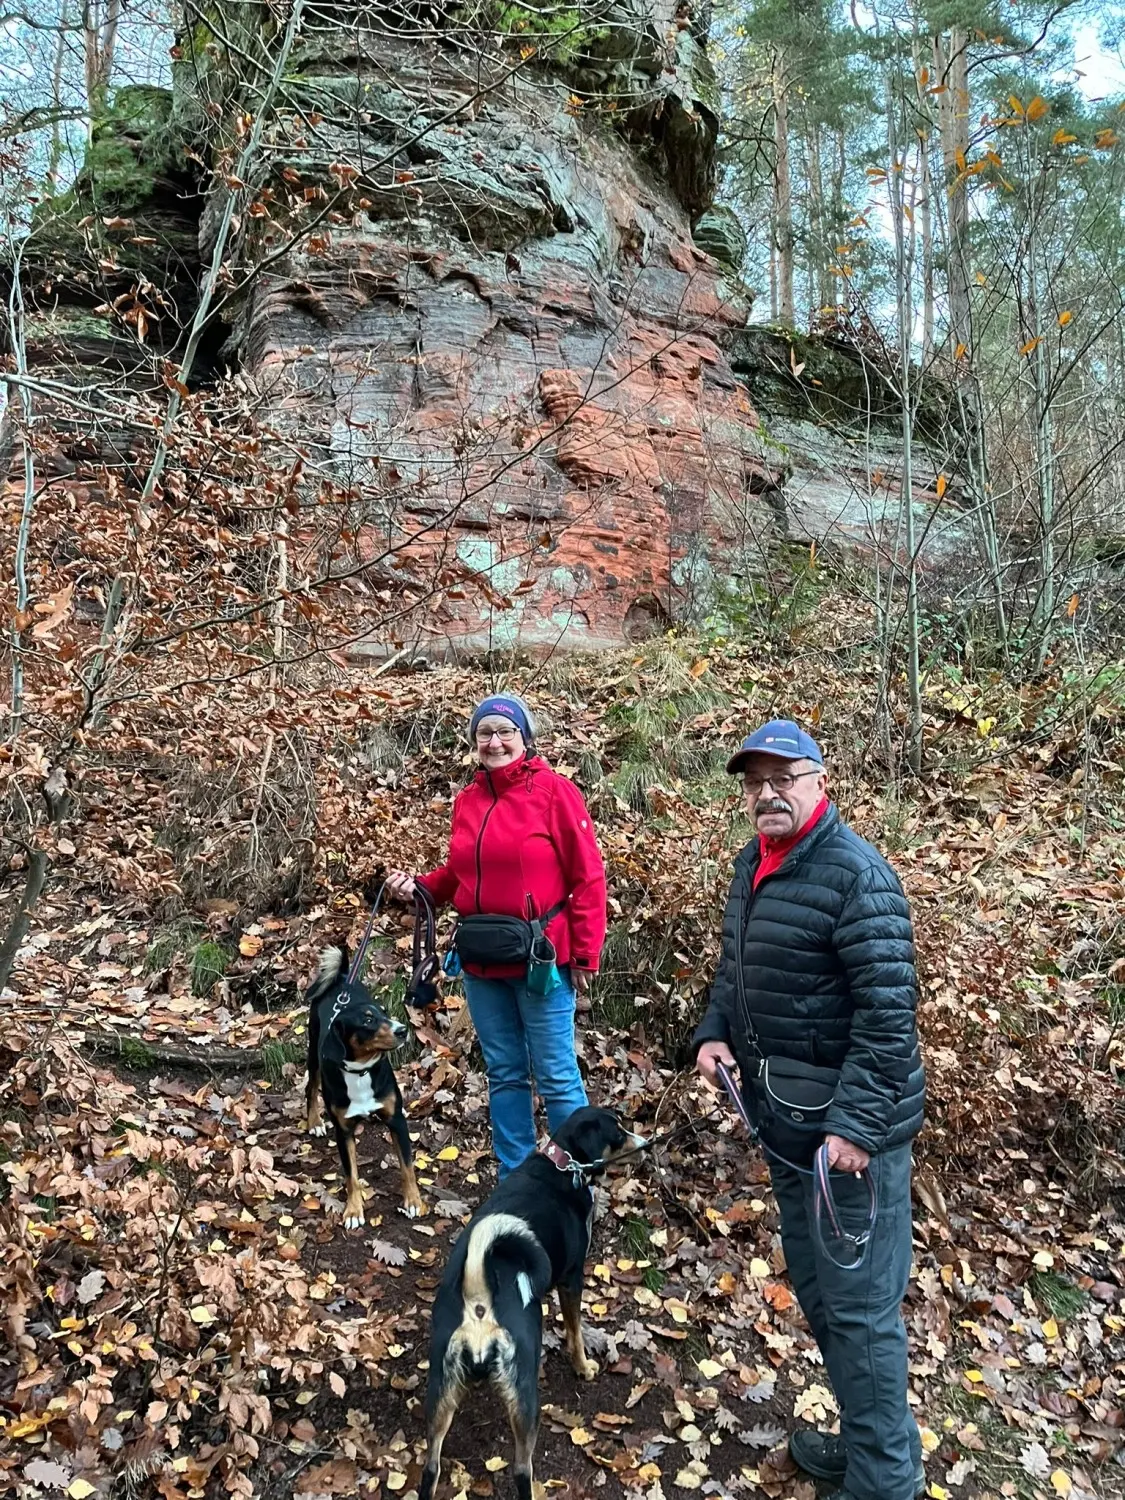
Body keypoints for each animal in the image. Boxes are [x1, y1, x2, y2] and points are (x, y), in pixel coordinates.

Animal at [301, 948, 426, 1230]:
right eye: (367, 1020)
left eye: (384, 1013)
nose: (403, 1030)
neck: (361, 1071)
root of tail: (342, 979)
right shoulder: (343, 1131)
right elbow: (351, 1177)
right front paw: (353, 1211)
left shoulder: (397, 1120)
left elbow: (407, 1167)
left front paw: (413, 1201)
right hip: (314, 1054)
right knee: (311, 1089)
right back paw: (314, 1121)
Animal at [420, 1104, 651, 1500]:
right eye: (618, 1134)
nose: (646, 1145)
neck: (562, 1165)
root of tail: (479, 1299)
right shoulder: (572, 1278)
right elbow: (575, 1331)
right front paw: (583, 1367)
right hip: (523, 1395)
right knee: (521, 1469)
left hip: (441, 1391)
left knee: (431, 1468)